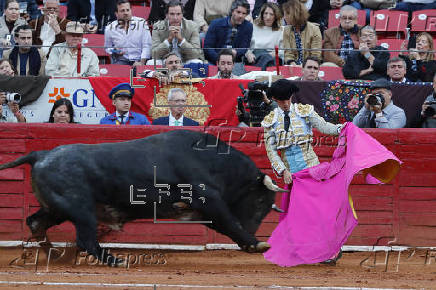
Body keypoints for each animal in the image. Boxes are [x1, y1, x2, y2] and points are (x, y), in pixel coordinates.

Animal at [0, 130, 286, 266]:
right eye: (261, 202)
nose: (253, 229)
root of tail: (40, 154)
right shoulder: (209, 199)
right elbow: (229, 221)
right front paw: (256, 243)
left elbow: (225, 224)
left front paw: (251, 243)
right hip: (81, 209)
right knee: (85, 239)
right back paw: (114, 261)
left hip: (57, 209)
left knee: (36, 222)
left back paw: (54, 254)